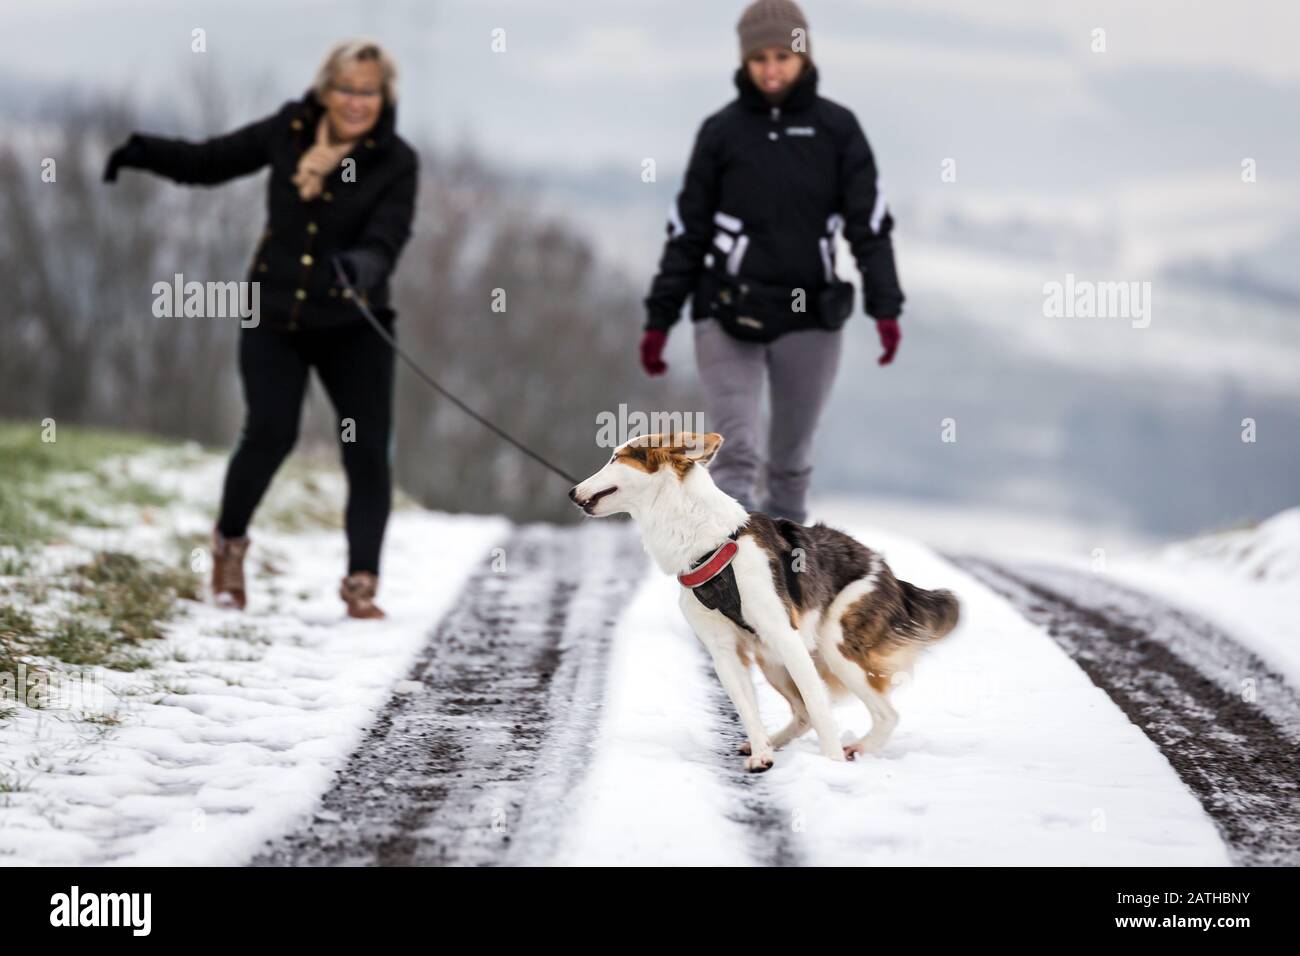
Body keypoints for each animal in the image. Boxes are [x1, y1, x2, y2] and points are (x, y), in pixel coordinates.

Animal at [572, 429, 967, 775]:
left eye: (615, 457)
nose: (572, 492)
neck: (707, 542)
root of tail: (891, 576)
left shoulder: (784, 635)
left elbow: (820, 708)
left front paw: (831, 763)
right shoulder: (724, 652)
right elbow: (749, 708)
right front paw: (762, 754)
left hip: (834, 645)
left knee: (884, 715)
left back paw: (853, 750)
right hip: (771, 660)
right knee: (804, 714)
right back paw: (774, 743)